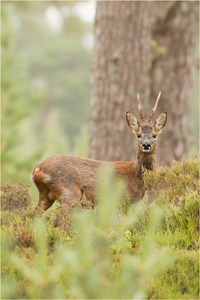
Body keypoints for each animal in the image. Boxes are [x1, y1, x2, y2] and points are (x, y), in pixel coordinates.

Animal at [32, 91, 167, 211]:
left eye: (154, 135)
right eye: (138, 135)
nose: (146, 145)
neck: (136, 176)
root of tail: (37, 169)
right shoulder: (123, 201)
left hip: (46, 195)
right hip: (69, 193)